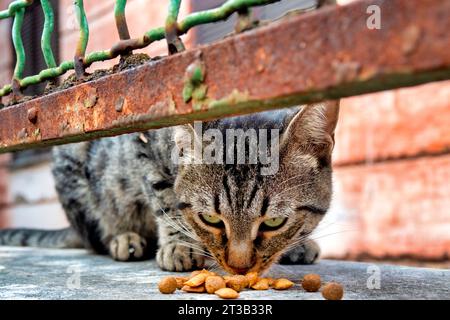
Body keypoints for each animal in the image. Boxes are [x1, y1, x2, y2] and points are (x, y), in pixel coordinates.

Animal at [0, 101, 338, 274]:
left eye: (274, 222)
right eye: (211, 218)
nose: (240, 269)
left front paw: (297, 244)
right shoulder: (142, 144)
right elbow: (167, 202)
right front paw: (179, 245)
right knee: (96, 236)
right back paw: (124, 239)